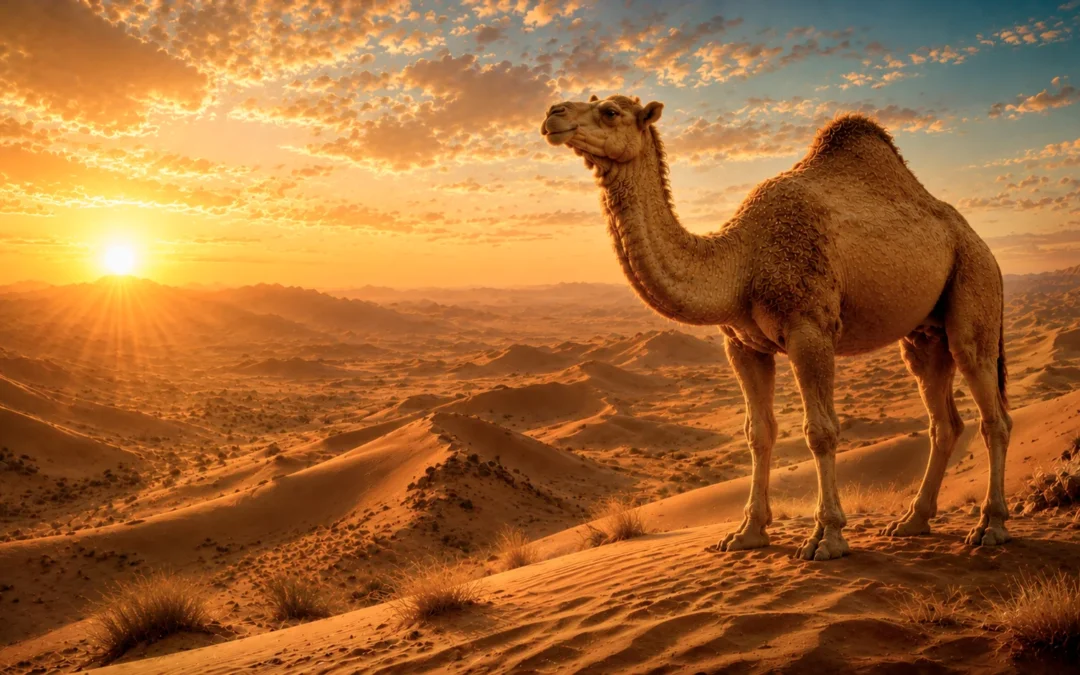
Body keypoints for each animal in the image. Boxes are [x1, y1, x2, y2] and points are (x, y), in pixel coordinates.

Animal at [540, 95, 1011, 561]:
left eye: (610, 111)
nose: (552, 114)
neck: (741, 262)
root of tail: (981, 243)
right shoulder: (743, 345)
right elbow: (758, 432)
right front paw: (746, 533)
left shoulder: (810, 329)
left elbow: (820, 431)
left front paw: (827, 537)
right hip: (925, 334)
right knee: (943, 419)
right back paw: (912, 522)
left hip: (974, 283)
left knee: (992, 410)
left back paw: (990, 527)